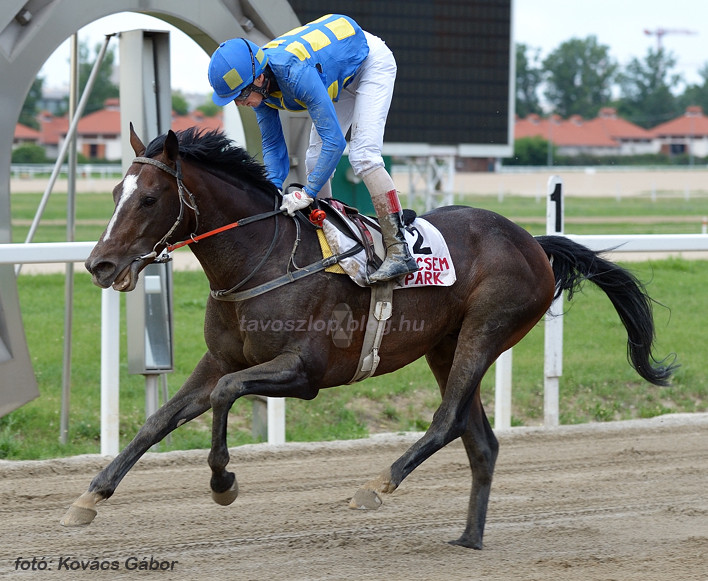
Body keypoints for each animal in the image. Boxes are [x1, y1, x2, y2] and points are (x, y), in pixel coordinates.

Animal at [60, 125, 676, 548]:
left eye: (148, 198)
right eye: (113, 192)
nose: (98, 264)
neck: (260, 261)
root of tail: (532, 241)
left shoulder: (304, 372)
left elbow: (226, 395)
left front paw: (223, 482)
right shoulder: (219, 359)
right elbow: (161, 419)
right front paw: (89, 496)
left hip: (485, 331)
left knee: (447, 421)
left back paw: (376, 486)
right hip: (444, 346)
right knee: (481, 440)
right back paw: (468, 539)